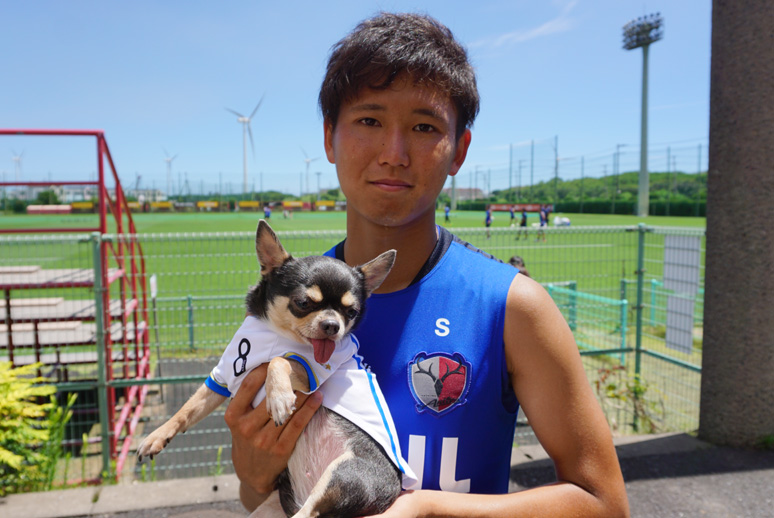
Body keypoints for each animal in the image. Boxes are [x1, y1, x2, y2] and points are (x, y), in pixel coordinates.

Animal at [137, 220, 413, 518]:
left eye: (351, 312)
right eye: (303, 303)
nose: (332, 325)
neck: (276, 332)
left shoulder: (311, 370)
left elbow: (277, 361)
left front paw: (278, 397)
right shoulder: (222, 376)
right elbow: (187, 409)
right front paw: (157, 435)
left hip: (345, 475)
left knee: (309, 513)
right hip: (274, 504)